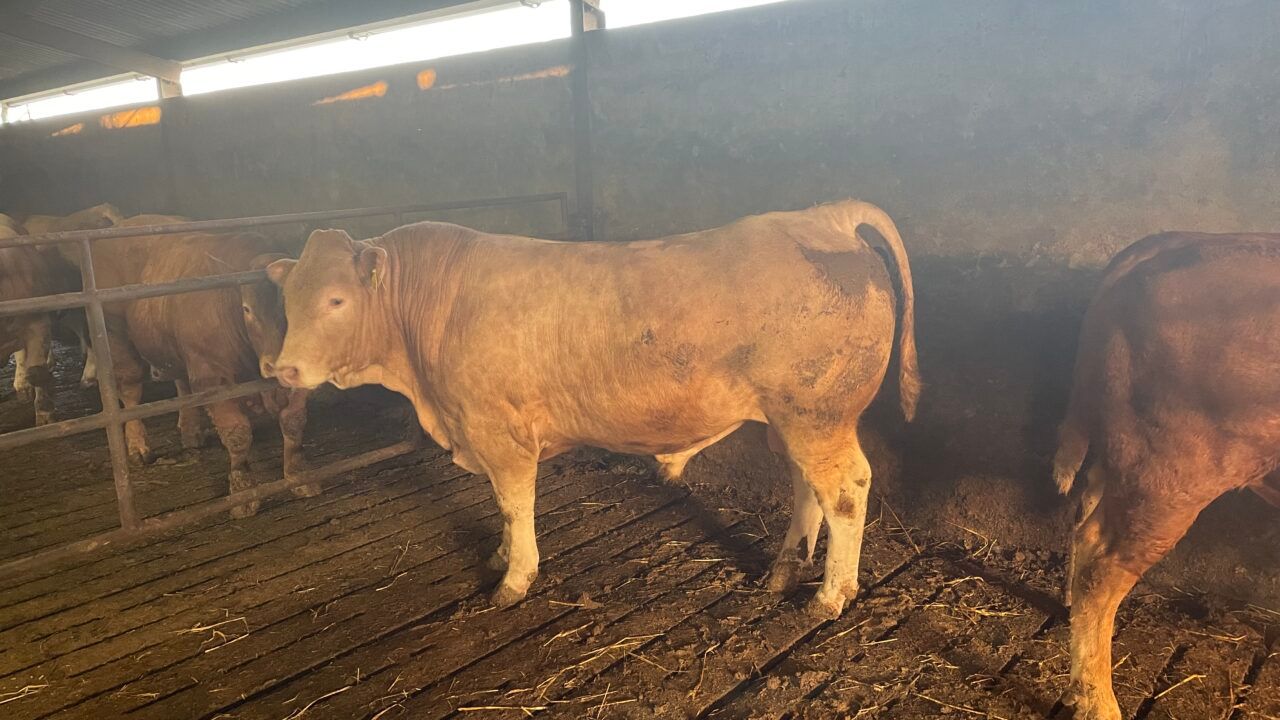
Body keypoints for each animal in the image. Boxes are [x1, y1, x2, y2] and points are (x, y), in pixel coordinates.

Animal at [93, 216, 312, 516]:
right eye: (246, 309)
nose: (276, 364)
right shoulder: (212, 377)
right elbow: (237, 434)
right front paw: (243, 491)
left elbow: (294, 424)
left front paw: (299, 477)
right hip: (116, 336)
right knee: (130, 391)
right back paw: (138, 446)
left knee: (182, 384)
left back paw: (191, 430)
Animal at [269, 199, 920, 617]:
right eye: (288, 298)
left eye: (336, 300)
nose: (284, 369)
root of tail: (822, 214)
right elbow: (502, 507)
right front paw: (500, 555)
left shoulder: (498, 429)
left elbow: (514, 503)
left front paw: (514, 577)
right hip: (793, 419)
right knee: (807, 485)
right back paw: (784, 570)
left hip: (817, 414)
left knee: (846, 489)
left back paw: (830, 595)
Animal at [1054, 232, 1280, 720]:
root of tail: (1168, 241)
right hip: (1171, 478)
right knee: (1102, 574)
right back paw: (1098, 702)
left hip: (1125, 460)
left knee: (1085, 521)